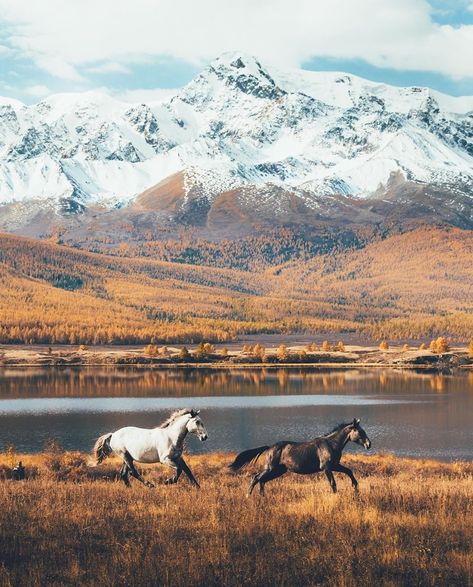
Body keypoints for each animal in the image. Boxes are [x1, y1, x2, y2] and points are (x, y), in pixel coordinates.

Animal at [228, 418, 368, 496]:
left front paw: (356, 488)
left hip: (278, 470)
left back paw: (262, 497)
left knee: (262, 480)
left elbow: (349, 471)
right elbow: (333, 483)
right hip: (271, 469)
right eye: (360, 431)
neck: (331, 444)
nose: (369, 444)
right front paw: (336, 495)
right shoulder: (327, 467)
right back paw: (248, 496)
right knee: (256, 478)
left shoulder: (334, 465)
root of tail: (269, 448)